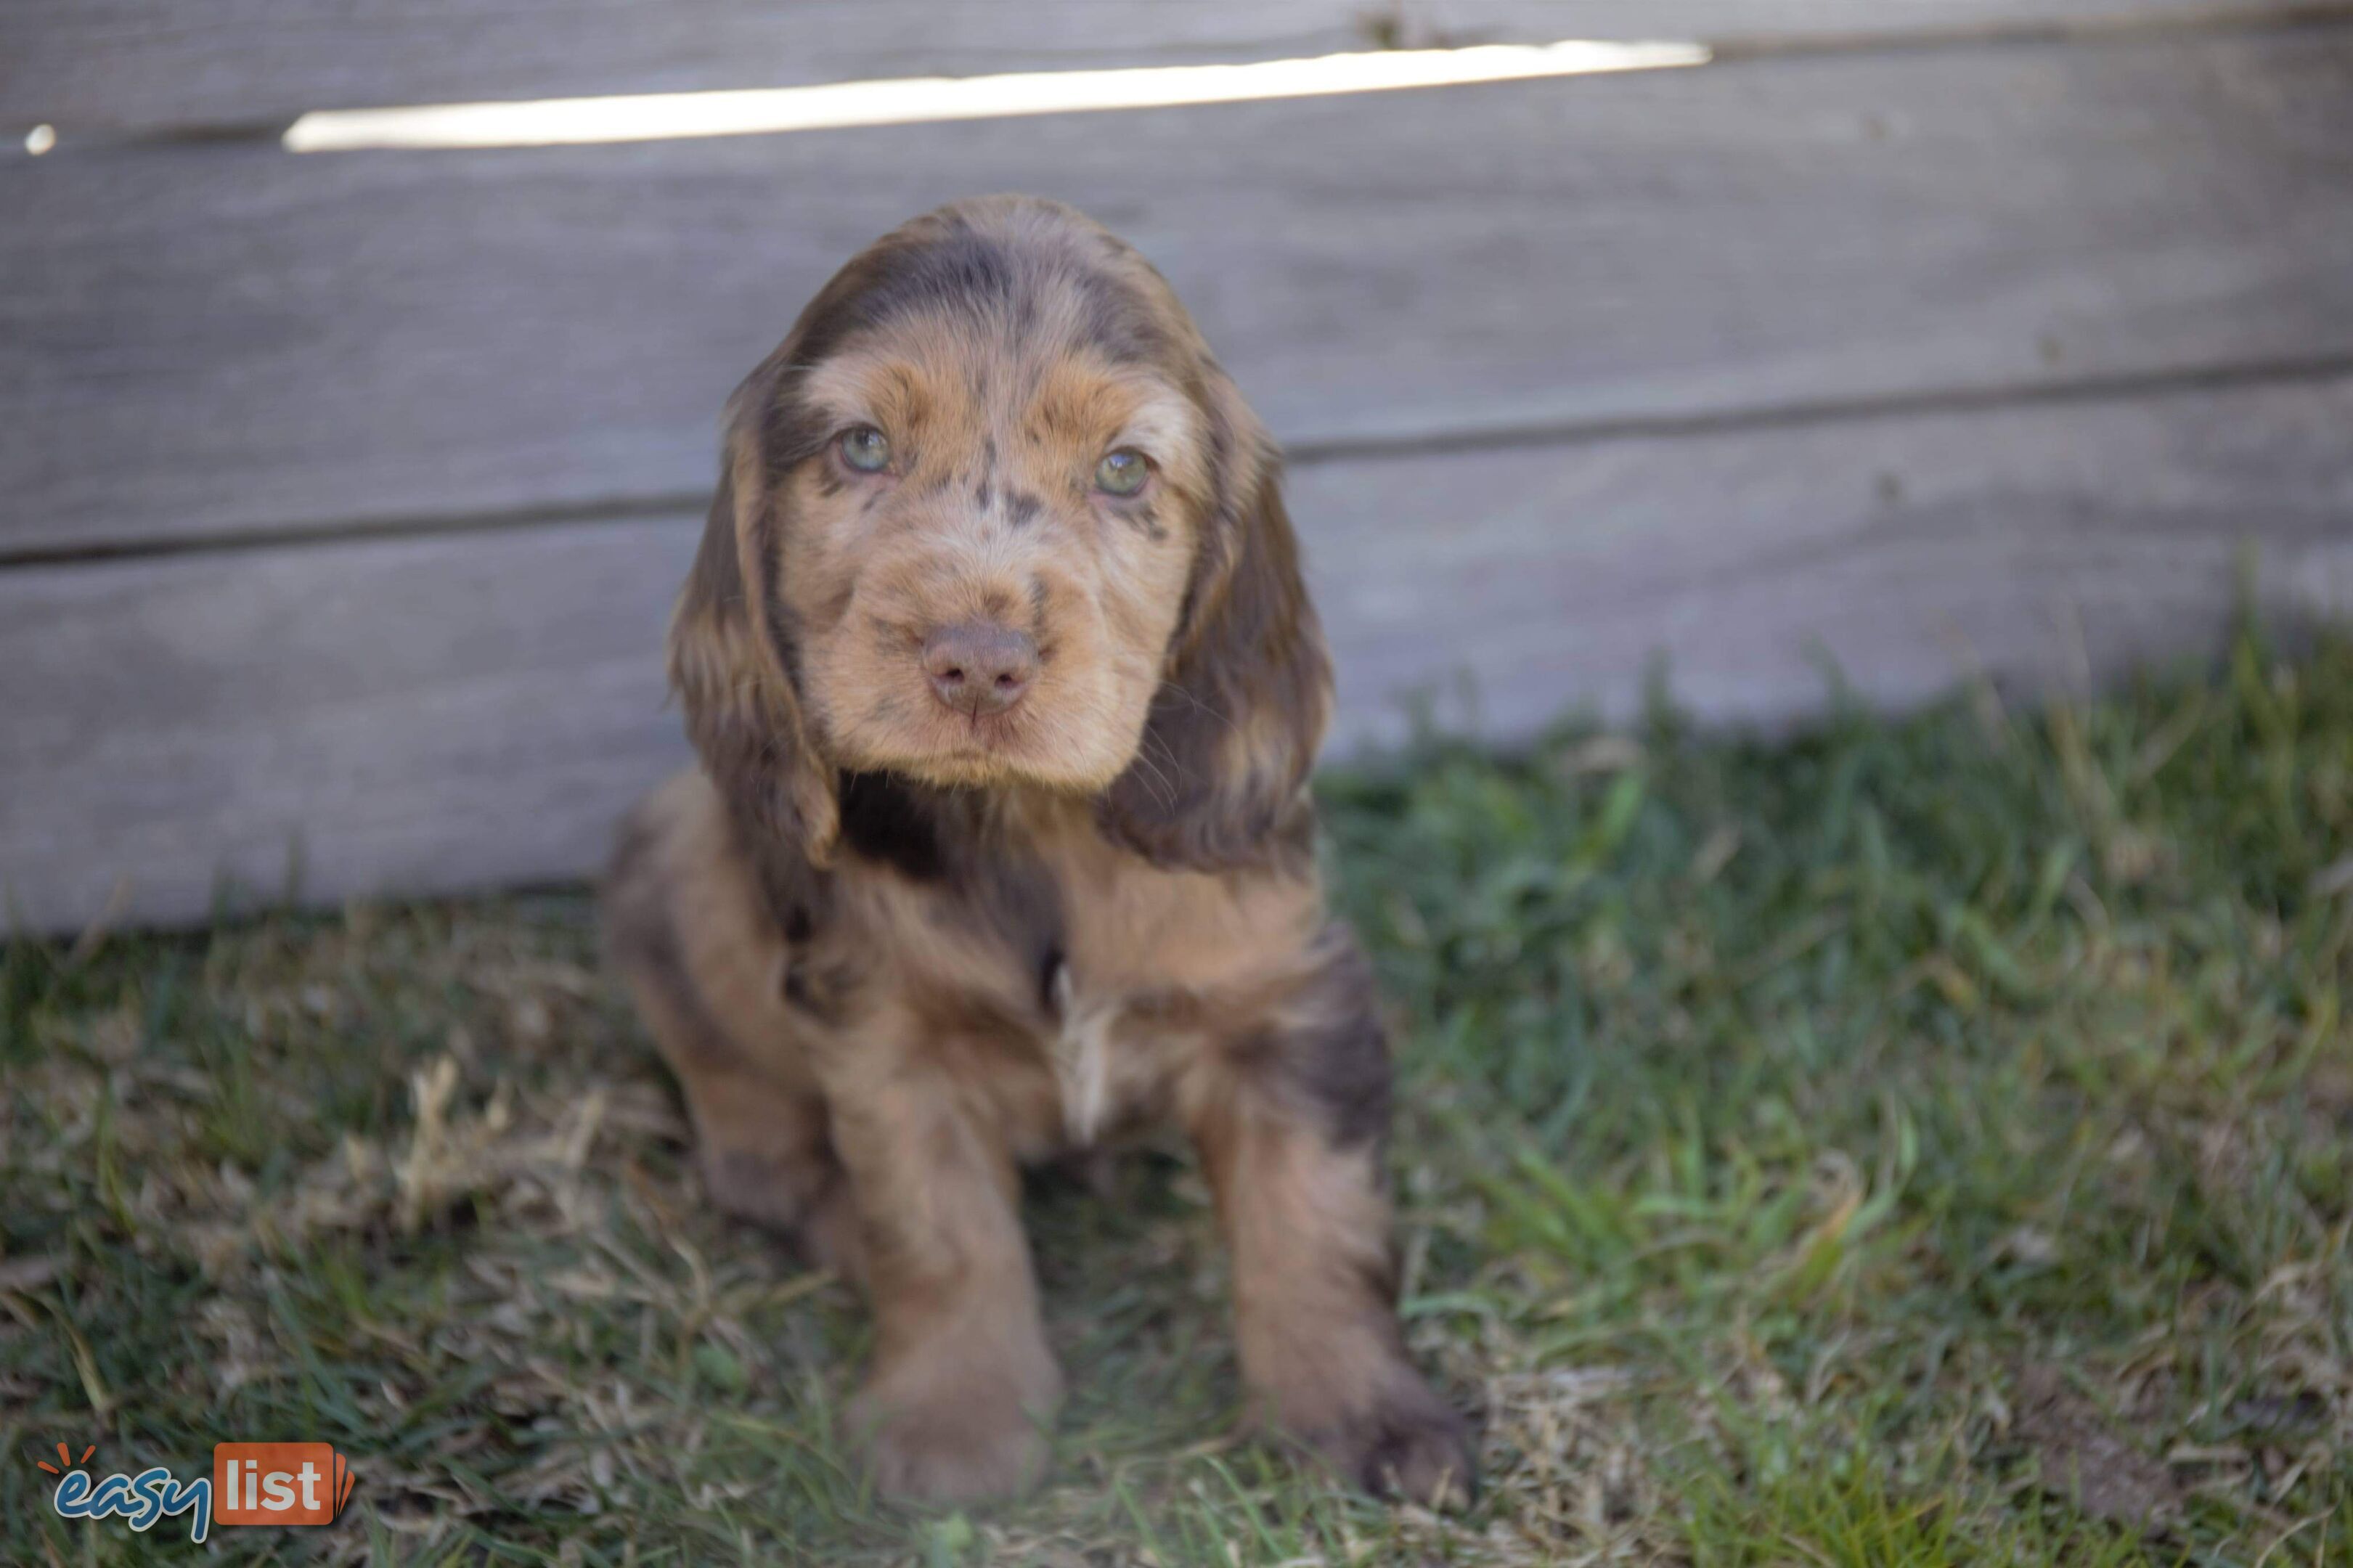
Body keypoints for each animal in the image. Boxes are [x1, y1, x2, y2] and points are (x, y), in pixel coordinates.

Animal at [611, 195, 1468, 1506]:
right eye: (863, 447)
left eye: (1123, 470)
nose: (977, 661)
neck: (1028, 825)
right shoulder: (883, 1037)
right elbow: (937, 1230)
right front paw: (953, 1428)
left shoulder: (1287, 996)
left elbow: (1315, 1212)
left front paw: (1362, 1416)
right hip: (675, 858)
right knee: (749, 1139)